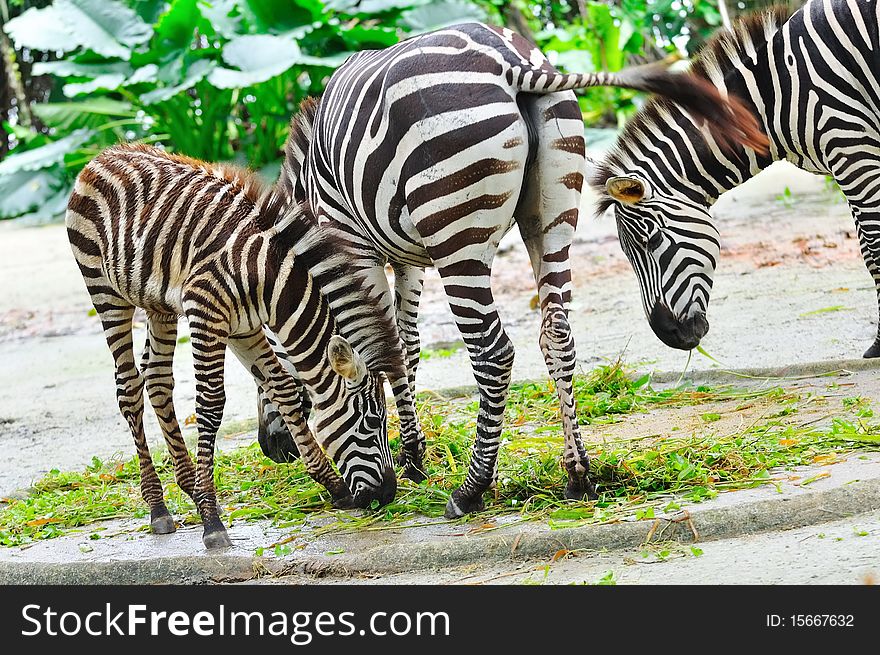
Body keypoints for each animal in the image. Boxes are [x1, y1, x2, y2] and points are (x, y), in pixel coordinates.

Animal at [64, 144, 402, 548]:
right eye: (372, 421)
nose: (388, 494)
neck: (270, 283)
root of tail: (107, 152)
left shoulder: (245, 329)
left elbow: (285, 391)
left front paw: (334, 487)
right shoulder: (205, 313)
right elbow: (211, 405)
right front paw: (212, 521)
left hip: (158, 305)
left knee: (157, 380)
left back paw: (189, 487)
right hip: (104, 291)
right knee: (129, 387)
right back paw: (159, 506)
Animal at [253, 23, 764, 520]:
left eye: (269, 368)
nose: (272, 448)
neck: (306, 201)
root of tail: (510, 60)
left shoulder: (354, 247)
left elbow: (382, 349)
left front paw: (408, 459)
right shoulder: (407, 259)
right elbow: (405, 346)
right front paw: (414, 456)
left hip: (456, 234)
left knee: (493, 352)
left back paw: (471, 490)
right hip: (552, 212)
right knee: (557, 333)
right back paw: (578, 475)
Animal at [588, 0, 880, 358]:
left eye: (651, 241)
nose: (670, 336)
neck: (768, 101)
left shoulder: (853, 150)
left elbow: (872, 248)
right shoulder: (846, 160)